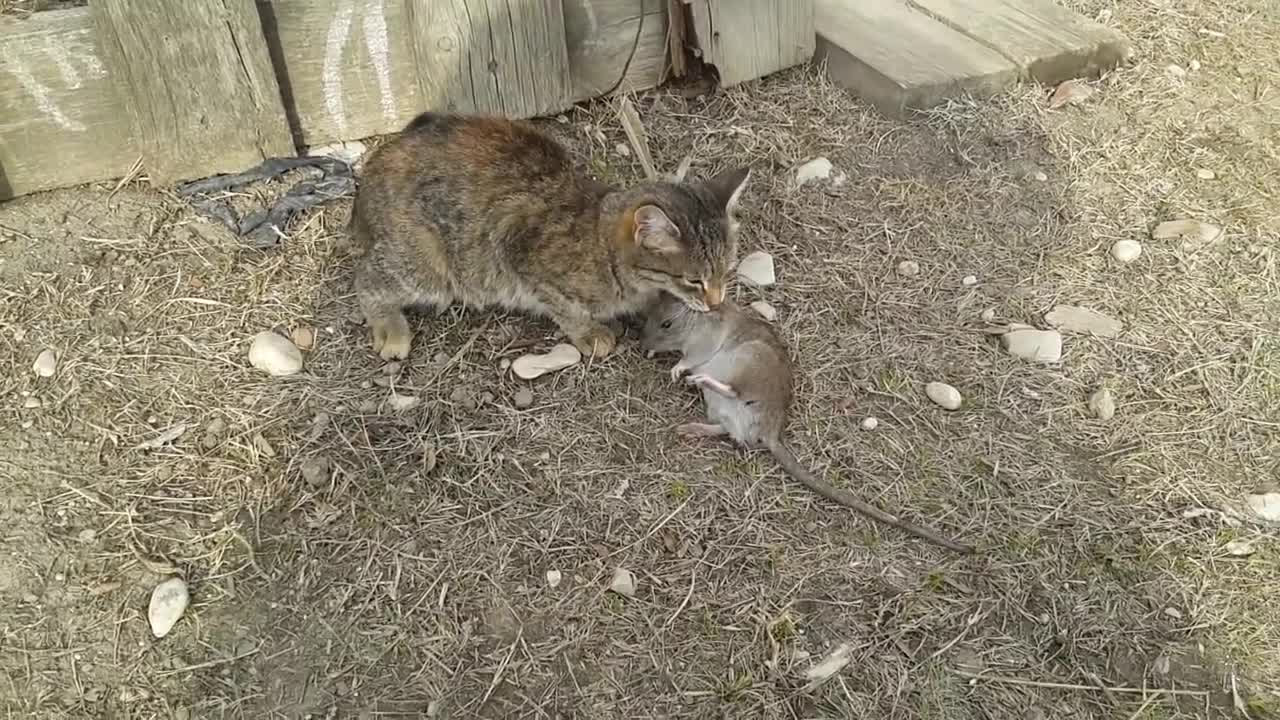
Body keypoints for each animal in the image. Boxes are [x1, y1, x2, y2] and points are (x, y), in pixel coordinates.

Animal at [350, 112, 747, 358]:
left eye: (726, 272)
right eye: (694, 280)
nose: (716, 301)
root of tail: (379, 160)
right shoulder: (519, 254)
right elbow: (564, 307)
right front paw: (588, 332)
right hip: (428, 265)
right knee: (367, 278)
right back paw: (389, 327)